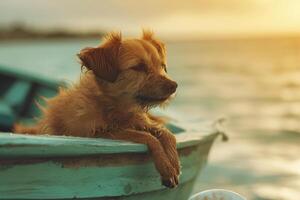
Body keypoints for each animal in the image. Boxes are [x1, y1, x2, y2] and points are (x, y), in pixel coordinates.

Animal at [14, 30, 180, 188]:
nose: (174, 85)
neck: (114, 107)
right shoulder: (95, 133)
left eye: (162, 66)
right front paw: (167, 167)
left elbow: (166, 133)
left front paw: (173, 160)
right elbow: (146, 136)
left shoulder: (138, 121)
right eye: (138, 67)